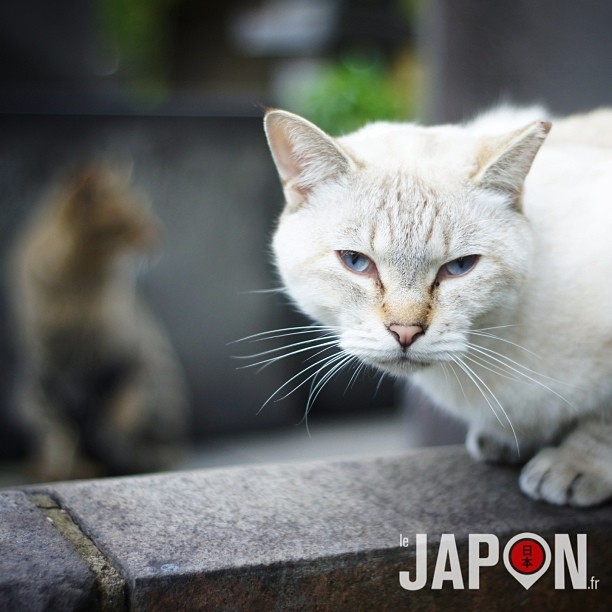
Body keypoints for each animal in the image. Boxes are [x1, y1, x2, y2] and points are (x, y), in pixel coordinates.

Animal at [11, 165, 189, 480]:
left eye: (147, 210)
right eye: (132, 217)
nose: (160, 234)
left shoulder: (124, 365)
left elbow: (112, 422)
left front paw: (109, 459)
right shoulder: (47, 373)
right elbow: (57, 432)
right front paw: (57, 469)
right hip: (26, 397)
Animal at [262, 104, 612, 506]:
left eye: (459, 267)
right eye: (356, 262)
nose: (405, 332)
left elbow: (603, 423)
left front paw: (575, 465)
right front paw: (507, 440)